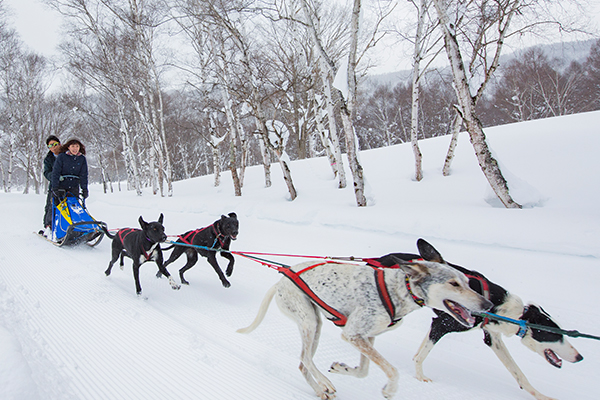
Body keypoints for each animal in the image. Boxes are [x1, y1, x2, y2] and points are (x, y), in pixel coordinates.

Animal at [238, 239, 492, 398]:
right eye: (454, 284)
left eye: (468, 282)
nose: (487, 305)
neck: (397, 289)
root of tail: (280, 280)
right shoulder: (352, 334)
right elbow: (392, 370)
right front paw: (390, 389)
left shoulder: (366, 337)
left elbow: (363, 370)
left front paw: (342, 368)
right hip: (309, 321)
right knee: (307, 359)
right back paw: (325, 383)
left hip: (315, 325)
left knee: (302, 363)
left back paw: (321, 389)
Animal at [372, 247, 584, 400]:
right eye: (556, 335)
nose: (580, 357)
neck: (498, 305)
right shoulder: (442, 324)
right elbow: (421, 356)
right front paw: (420, 377)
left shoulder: (492, 338)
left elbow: (518, 372)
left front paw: (540, 395)